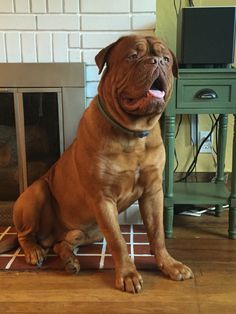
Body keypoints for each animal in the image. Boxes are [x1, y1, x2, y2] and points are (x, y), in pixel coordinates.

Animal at [0, 35, 193, 294]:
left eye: (166, 59)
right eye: (132, 56)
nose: (156, 62)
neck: (133, 133)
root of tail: (47, 237)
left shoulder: (153, 192)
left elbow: (157, 233)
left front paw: (169, 264)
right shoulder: (103, 198)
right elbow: (118, 241)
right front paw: (128, 274)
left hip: (90, 231)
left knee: (61, 244)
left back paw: (70, 261)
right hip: (37, 193)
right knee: (24, 235)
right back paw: (34, 251)